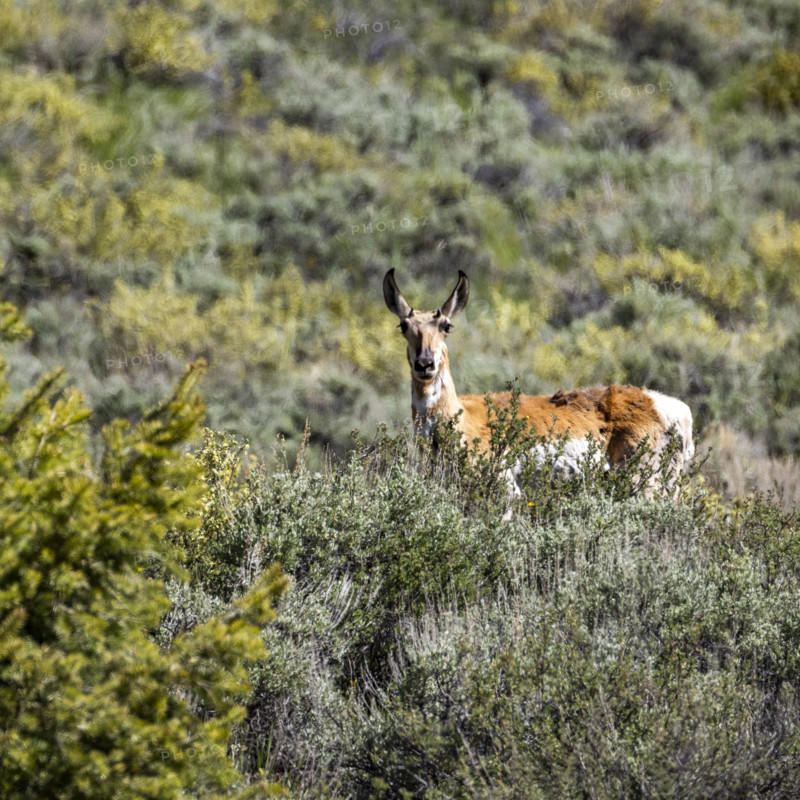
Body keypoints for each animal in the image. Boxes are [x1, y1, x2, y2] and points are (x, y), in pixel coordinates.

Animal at [383, 268, 694, 495]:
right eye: (403, 326)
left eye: (446, 325)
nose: (425, 364)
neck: (461, 417)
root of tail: (667, 406)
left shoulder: (505, 493)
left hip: (645, 487)